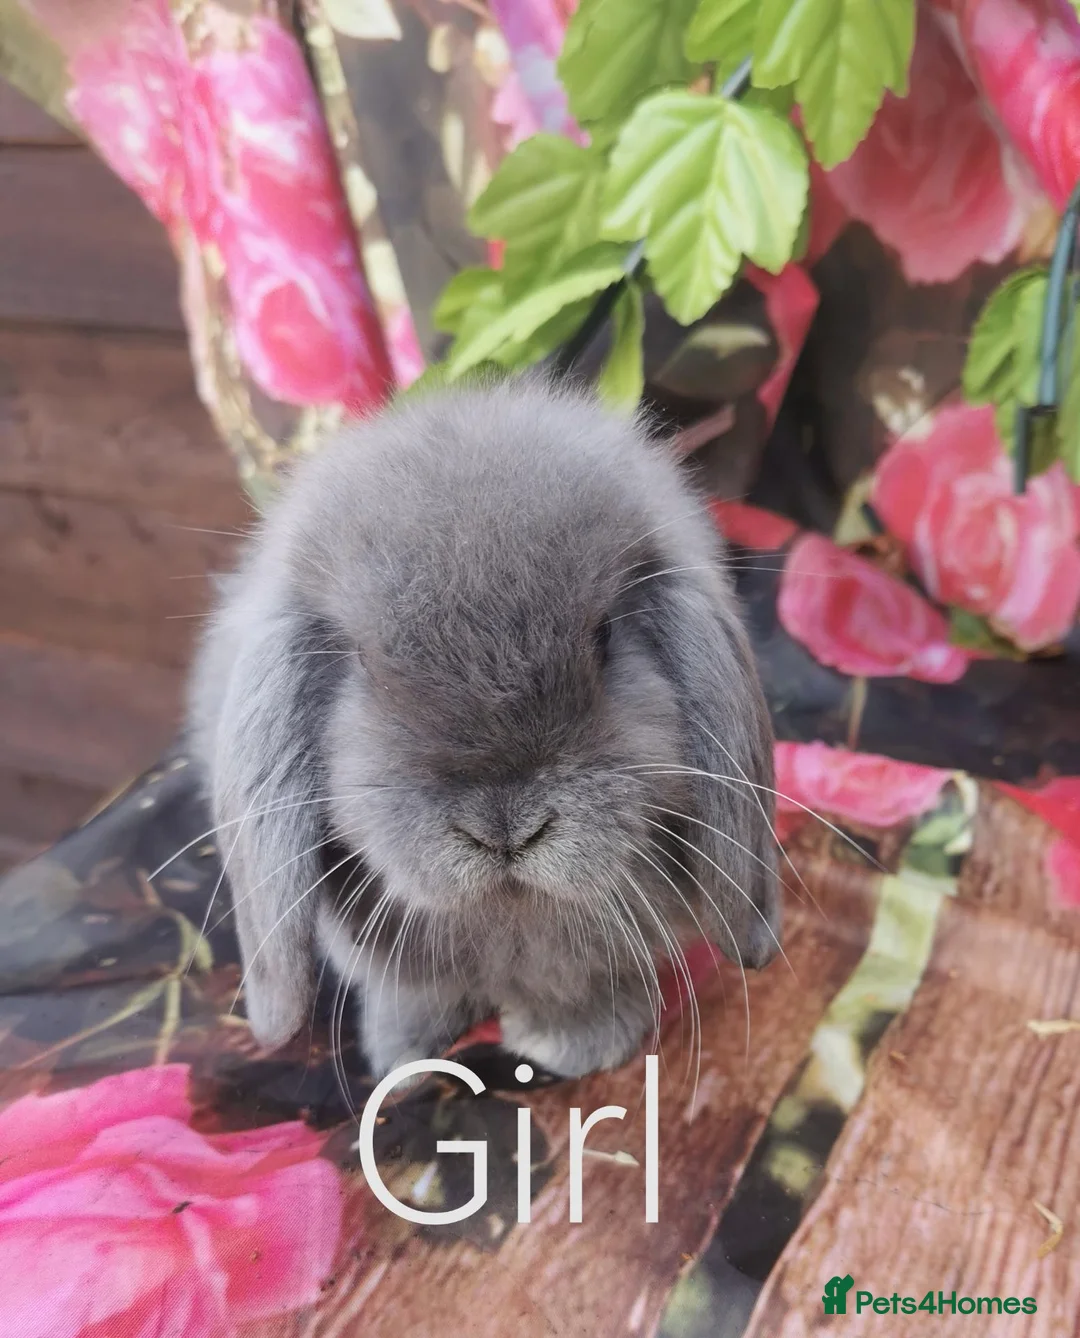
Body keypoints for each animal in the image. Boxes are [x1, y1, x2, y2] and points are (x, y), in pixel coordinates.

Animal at [187, 377, 782, 1083]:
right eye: (362, 662)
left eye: (605, 637)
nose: (506, 829)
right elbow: (416, 996)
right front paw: (401, 1058)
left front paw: (574, 1045)